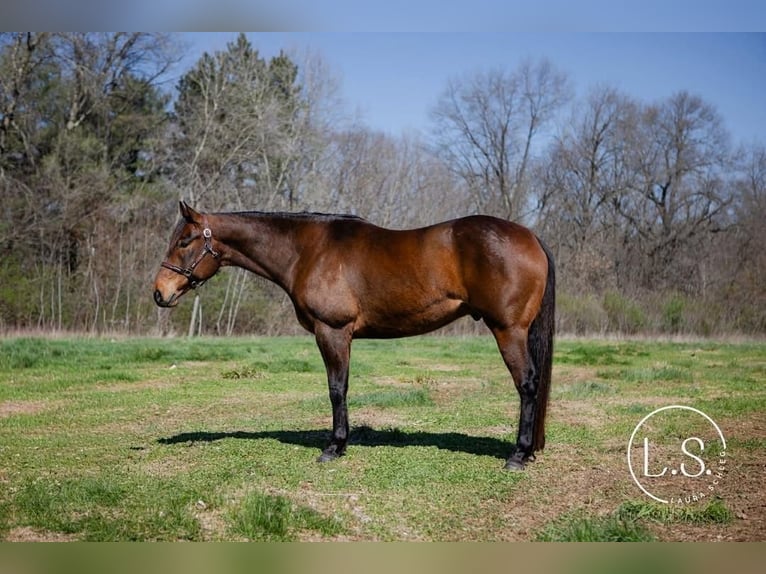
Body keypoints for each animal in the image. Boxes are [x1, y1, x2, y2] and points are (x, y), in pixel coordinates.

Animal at [153, 201, 555, 470]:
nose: (160, 293)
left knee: (528, 384)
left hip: (508, 331)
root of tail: (532, 236)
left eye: (185, 241)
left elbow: (337, 388)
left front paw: (334, 446)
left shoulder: (332, 331)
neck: (307, 250)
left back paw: (518, 454)